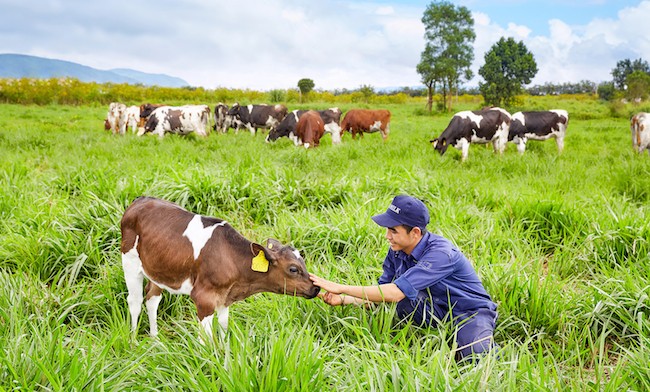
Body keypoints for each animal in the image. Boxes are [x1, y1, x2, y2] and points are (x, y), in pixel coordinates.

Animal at [119, 198, 318, 338]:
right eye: (293, 269)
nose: (315, 288)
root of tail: (141, 199)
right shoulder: (203, 298)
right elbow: (205, 339)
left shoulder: (225, 298)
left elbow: (223, 329)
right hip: (130, 262)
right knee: (135, 301)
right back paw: (134, 340)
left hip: (158, 267)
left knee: (152, 299)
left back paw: (155, 339)